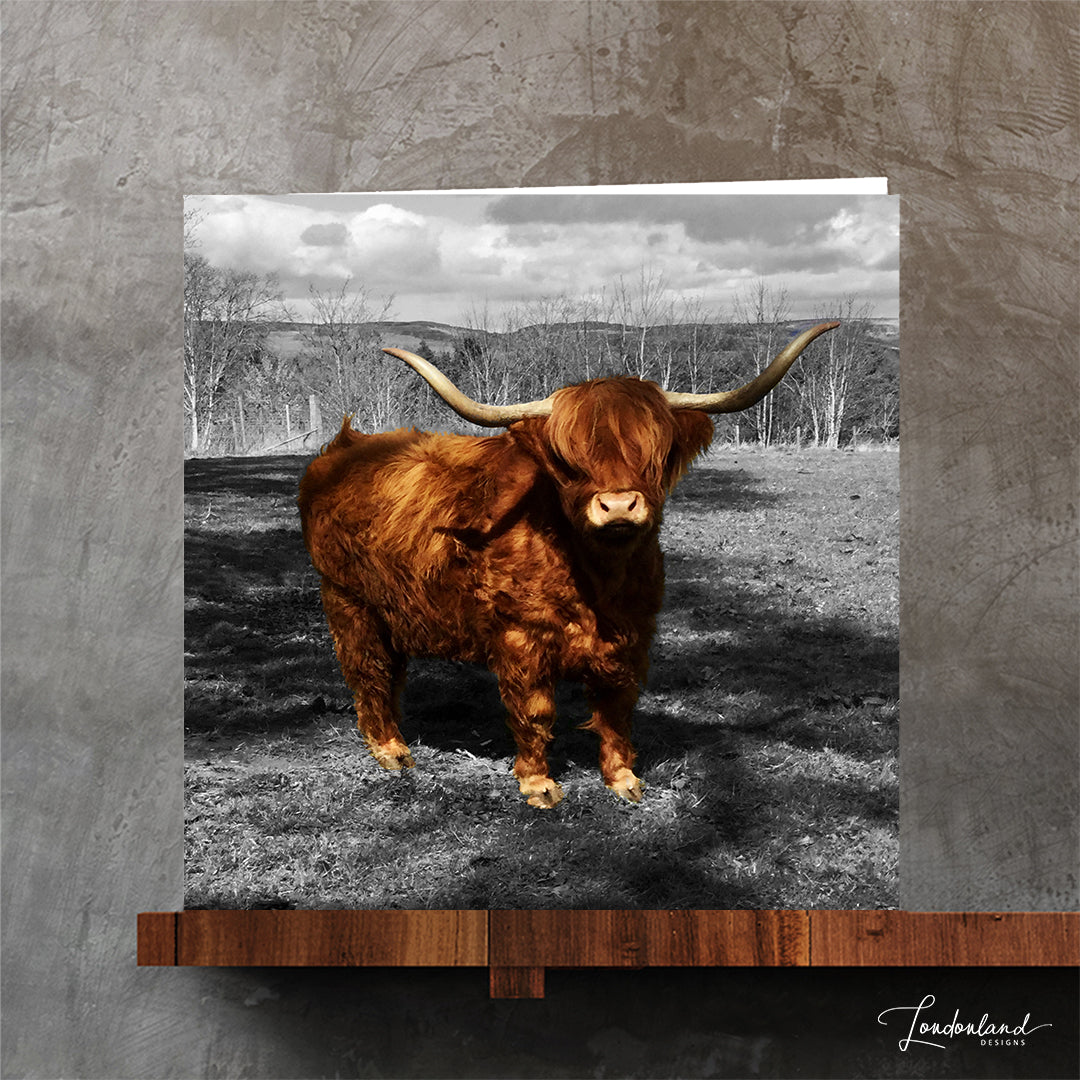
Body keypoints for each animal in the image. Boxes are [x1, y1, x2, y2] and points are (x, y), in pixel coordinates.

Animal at [298, 321, 838, 807]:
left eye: (655, 453)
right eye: (567, 460)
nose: (618, 506)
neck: (599, 580)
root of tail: (343, 448)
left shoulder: (633, 636)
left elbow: (617, 709)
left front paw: (623, 779)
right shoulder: (520, 638)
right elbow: (534, 710)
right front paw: (538, 785)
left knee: (390, 673)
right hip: (348, 602)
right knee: (367, 671)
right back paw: (390, 750)